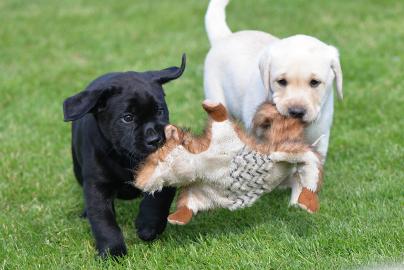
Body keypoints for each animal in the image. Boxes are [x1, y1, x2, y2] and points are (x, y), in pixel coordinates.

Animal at [62, 54, 185, 258]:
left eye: (159, 110)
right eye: (127, 118)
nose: (155, 139)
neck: (127, 160)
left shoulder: (168, 171)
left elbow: (158, 199)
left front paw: (148, 225)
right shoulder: (97, 186)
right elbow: (104, 222)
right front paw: (113, 252)